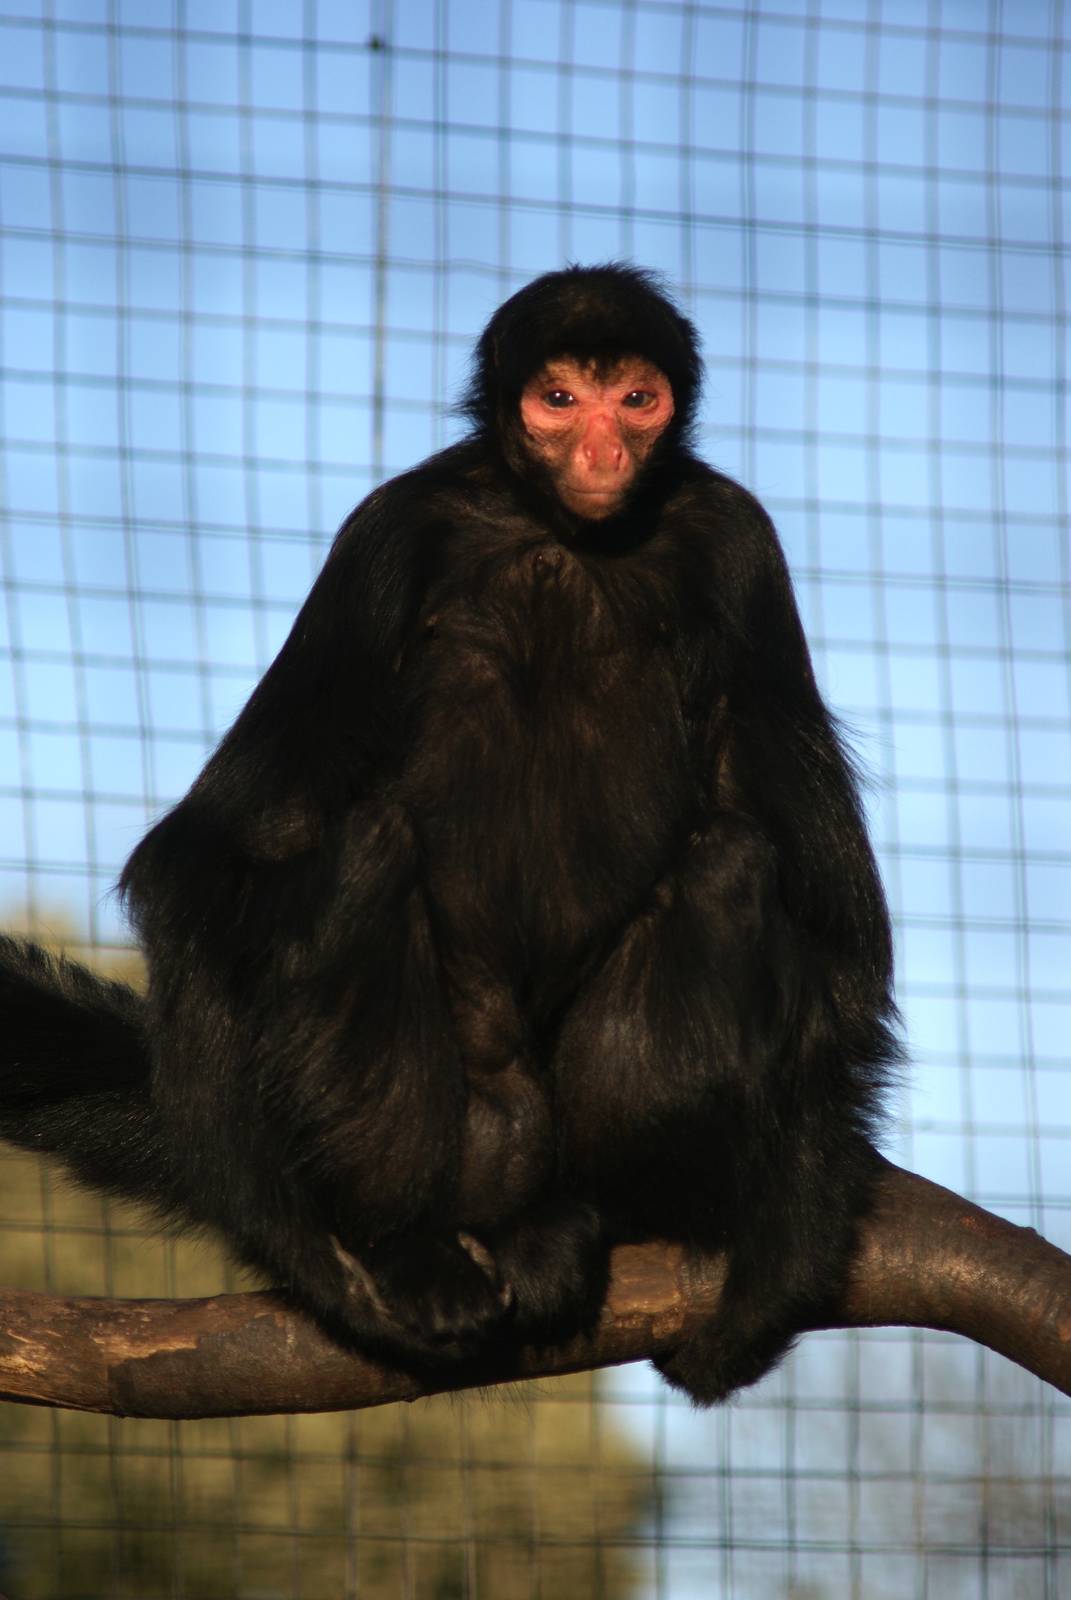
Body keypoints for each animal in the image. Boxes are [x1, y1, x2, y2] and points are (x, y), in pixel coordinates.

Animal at [0, 263, 899, 1403]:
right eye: (559, 399)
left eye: (634, 399)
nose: (602, 451)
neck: (564, 539)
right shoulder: (389, 536)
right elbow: (203, 860)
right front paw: (311, 1261)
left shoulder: (739, 544)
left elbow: (840, 937)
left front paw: (773, 1277)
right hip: (483, 1133)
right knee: (365, 844)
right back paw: (406, 1245)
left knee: (732, 856)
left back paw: (611, 1208)